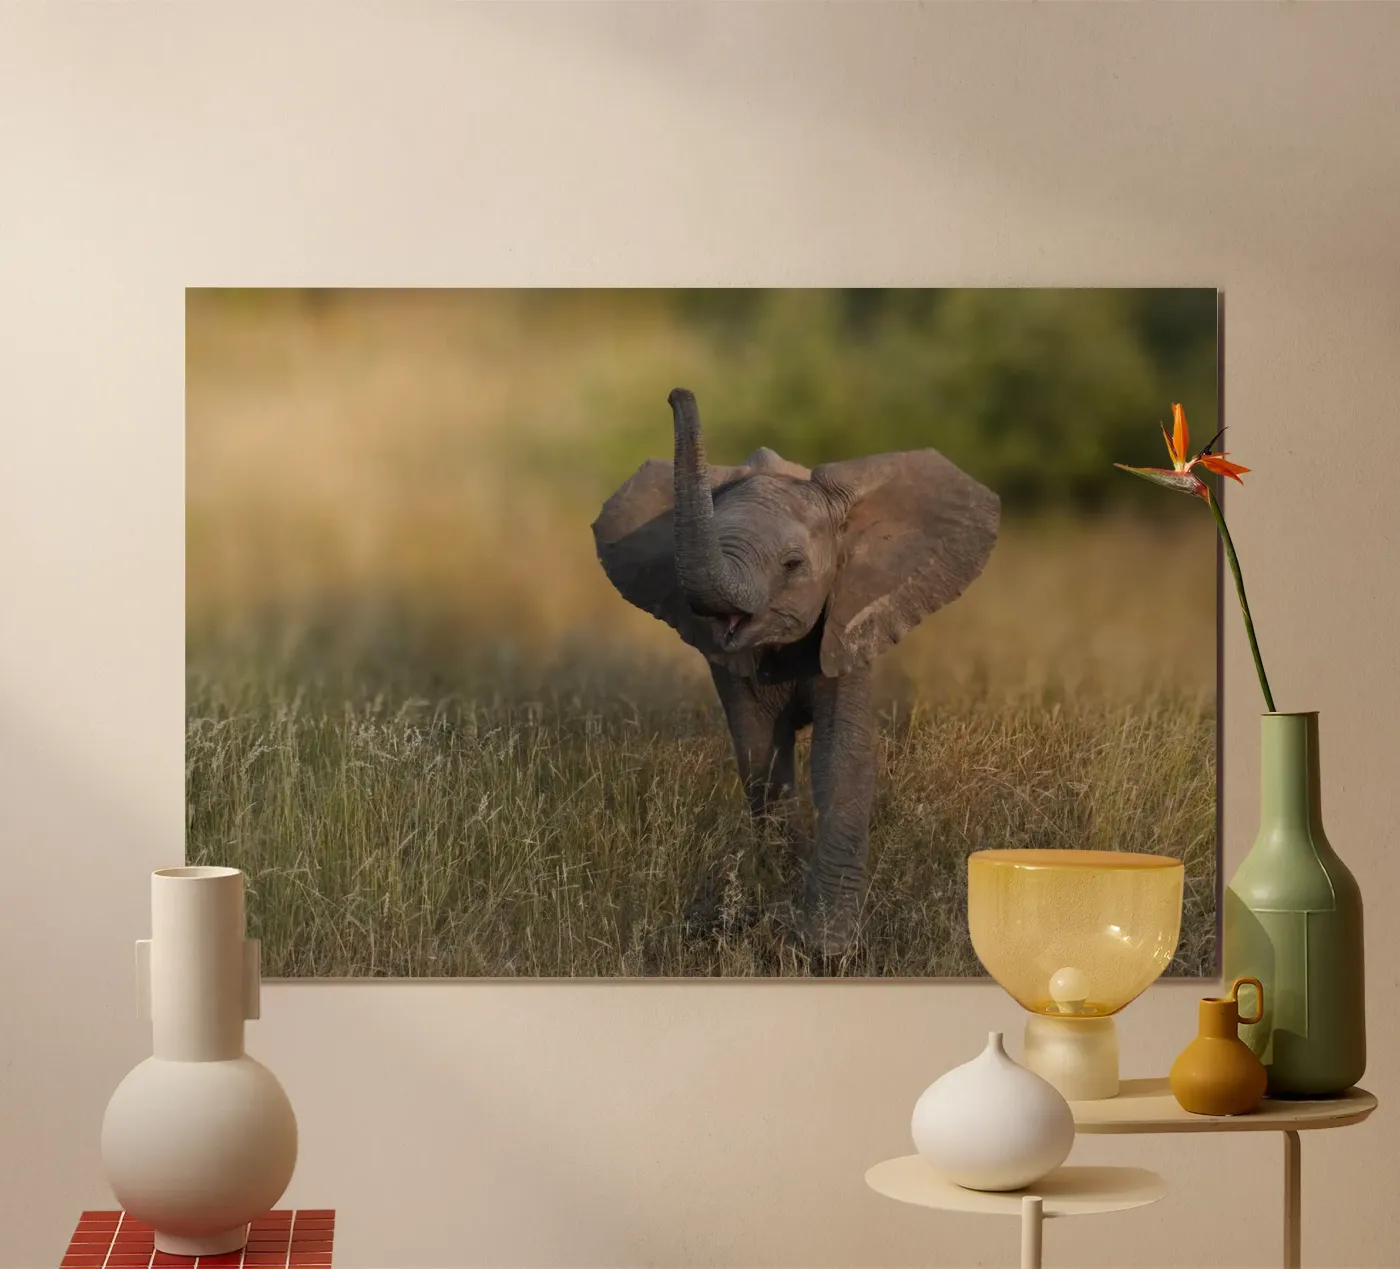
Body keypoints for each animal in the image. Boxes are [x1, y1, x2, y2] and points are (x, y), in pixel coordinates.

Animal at [591, 388, 1000, 956]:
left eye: (792, 565)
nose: (677, 394)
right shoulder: (730, 663)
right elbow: (760, 758)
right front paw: (775, 906)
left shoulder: (850, 623)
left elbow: (840, 755)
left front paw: (826, 945)